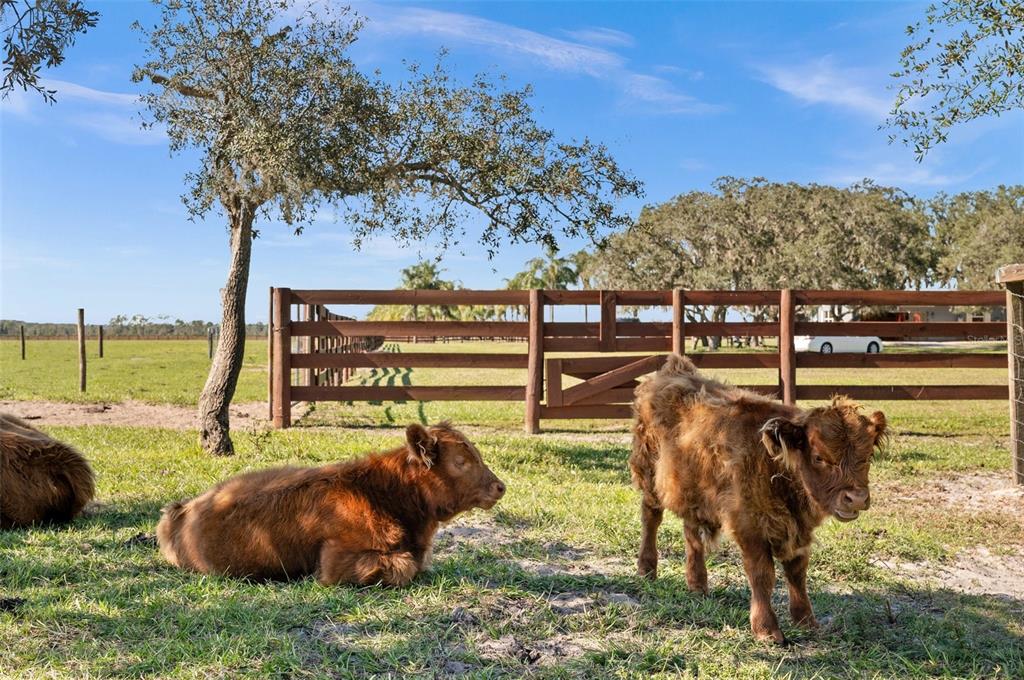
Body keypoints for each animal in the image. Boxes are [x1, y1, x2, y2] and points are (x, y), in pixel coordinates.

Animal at [629, 355, 886, 643]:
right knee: (651, 518)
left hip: (693, 490)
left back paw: (697, 585)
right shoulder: (749, 524)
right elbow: (762, 574)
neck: (775, 465)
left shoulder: (798, 529)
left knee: (692, 534)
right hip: (649, 475)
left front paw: (806, 620)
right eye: (819, 457)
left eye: (866, 456)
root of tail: (673, 369)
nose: (856, 498)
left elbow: (797, 572)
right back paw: (647, 569)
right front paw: (767, 629)